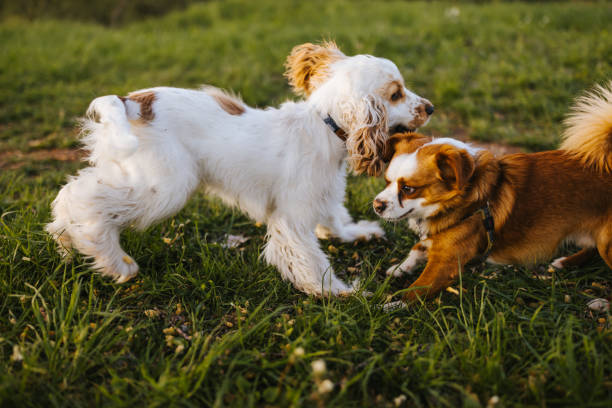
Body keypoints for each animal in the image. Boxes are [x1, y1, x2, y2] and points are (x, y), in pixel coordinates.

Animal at [46, 41, 430, 294]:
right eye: (396, 94)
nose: (430, 107)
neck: (324, 124)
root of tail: (130, 103)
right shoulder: (291, 218)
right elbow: (310, 260)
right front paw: (339, 292)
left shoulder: (321, 195)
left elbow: (334, 220)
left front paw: (357, 233)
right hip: (165, 187)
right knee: (87, 204)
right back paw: (114, 262)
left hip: (131, 172)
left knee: (75, 190)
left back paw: (66, 243)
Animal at [370, 81, 612, 302]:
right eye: (387, 181)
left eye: (408, 189)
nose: (377, 205)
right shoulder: (434, 241)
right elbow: (417, 248)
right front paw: (400, 268)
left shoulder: (443, 266)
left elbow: (412, 293)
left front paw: (388, 306)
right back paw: (565, 262)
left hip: (607, 243)